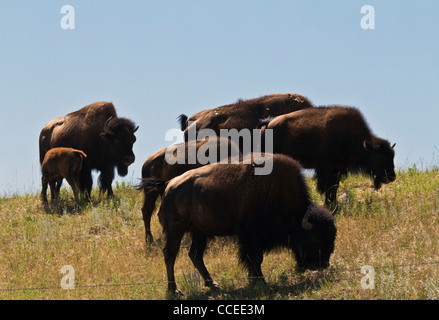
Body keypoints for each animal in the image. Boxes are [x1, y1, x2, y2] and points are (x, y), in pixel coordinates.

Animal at [140, 154, 336, 294]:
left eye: (331, 237)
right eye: (315, 238)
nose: (323, 264)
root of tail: (168, 185)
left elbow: (254, 258)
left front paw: (255, 279)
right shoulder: (250, 235)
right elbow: (255, 258)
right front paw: (260, 280)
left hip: (199, 232)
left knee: (195, 254)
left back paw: (213, 284)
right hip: (175, 229)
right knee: (170, 254)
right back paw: (174, 289)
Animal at [260, 106, 398, 209]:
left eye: (392, 156)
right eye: (380, 158)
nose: (391, 177)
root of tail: (268, 124)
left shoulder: (338, 169)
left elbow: (334, 187)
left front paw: (334, 204)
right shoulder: (326, 168)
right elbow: (328, 187)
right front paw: (329, 205)